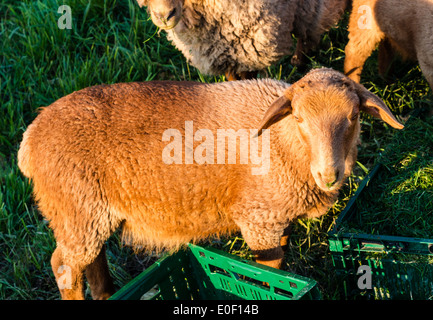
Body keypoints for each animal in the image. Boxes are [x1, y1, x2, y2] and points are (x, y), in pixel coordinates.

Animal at [16, 68, 402, 300]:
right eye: (300, 118)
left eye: (352, 117)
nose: (328, 174)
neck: (281, 142)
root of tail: (30, 138)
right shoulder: (258, 220)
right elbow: (270, 272)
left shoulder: (278, 216)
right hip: (77, 210)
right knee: (64, 267)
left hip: (88, 216)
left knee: (92, 262)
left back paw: (107, 293)